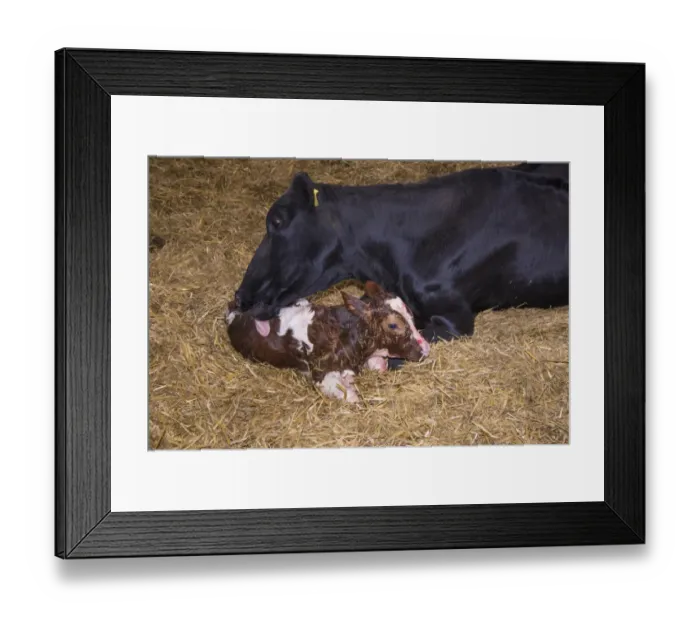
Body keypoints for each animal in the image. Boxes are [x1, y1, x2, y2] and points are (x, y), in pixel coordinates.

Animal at [226, 281, 430, 403]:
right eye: (393, 325)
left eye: (410, 313)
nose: (425, 349)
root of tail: (233, 310)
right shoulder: (321, 376)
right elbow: (351, 396)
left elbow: (380, 365)